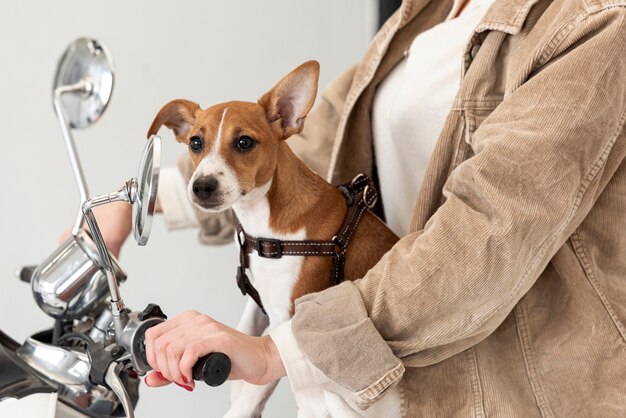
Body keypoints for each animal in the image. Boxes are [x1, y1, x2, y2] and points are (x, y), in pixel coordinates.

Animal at [149, 60, 398, 416]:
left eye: (244, 143)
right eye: (196, 142)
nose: (201, 186)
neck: (264, 226)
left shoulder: (287, 316)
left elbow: (257, 385)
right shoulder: (262, 302)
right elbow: (244, 342)